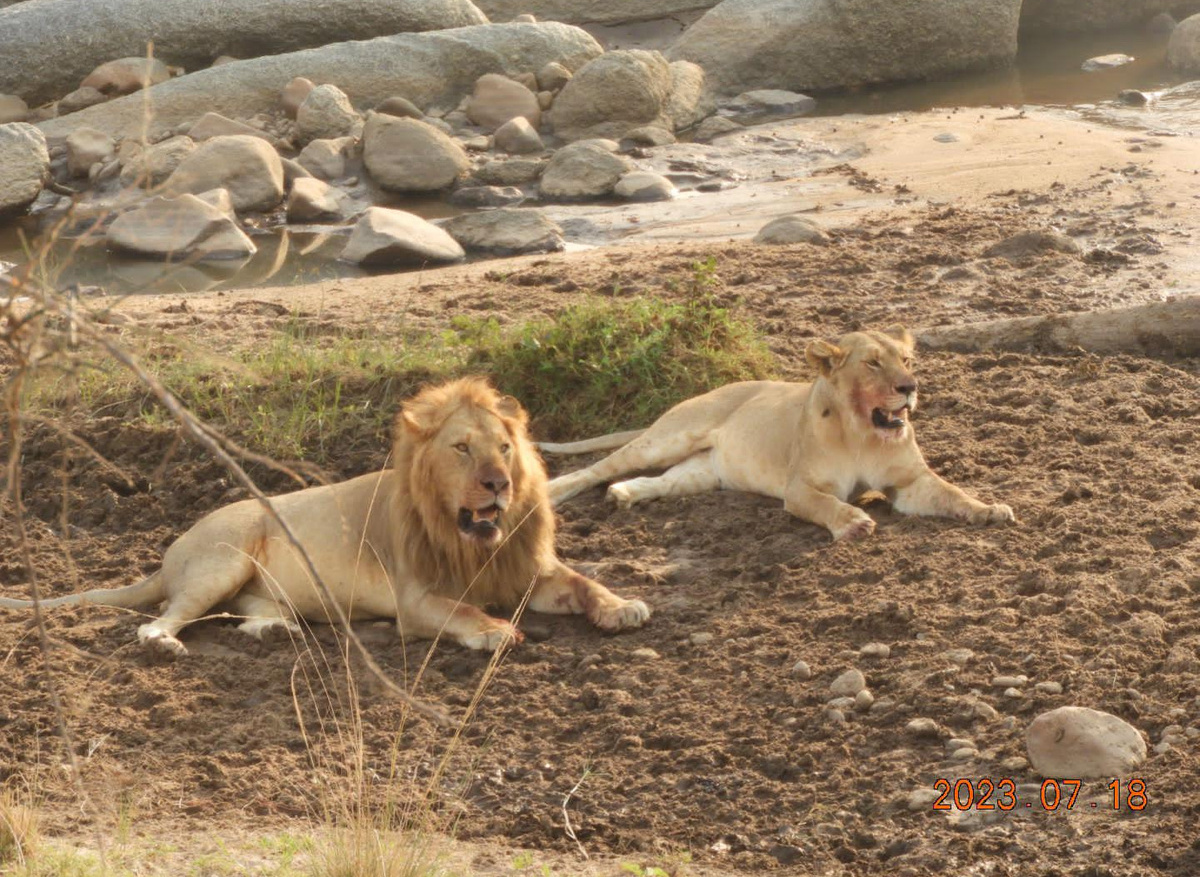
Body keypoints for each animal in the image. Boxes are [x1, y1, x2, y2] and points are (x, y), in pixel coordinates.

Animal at [0, 378, 650, 654]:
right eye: (462, 448)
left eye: (506, 447)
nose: (499, 484)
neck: (471, 540)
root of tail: (171, 551)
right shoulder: (416, 598)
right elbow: (458, 610)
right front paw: (492, 631)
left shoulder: (528, 572)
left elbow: (585, 582)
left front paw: (623, 607)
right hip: (222, 560)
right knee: (162, 619)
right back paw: (164, 644)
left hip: (249, 586)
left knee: (248, 612)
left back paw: (276, 631)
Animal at [542, 326, 1014, 541]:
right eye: (873, 363)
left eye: (907, 360)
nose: (910, 387)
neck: (862, 432)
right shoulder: (800, 487)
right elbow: (827, 504)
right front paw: (853, 522)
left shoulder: (909, 483)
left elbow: (951, 493)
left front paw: (988, 509)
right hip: (667, 438)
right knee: (597, 468)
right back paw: (553, 492)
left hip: (701, 471)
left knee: (655, 482)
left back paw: (622, 495)